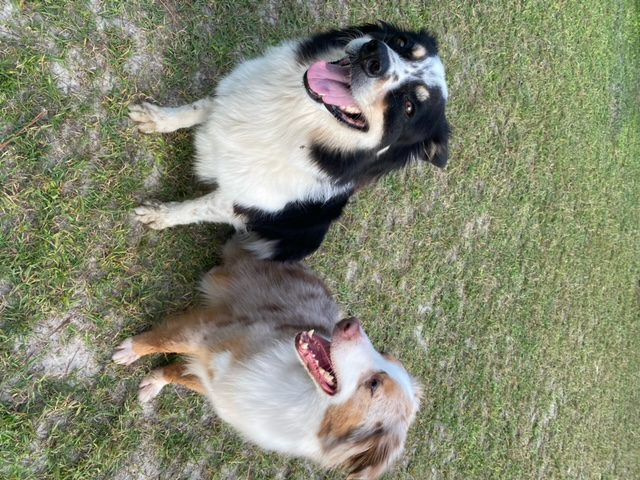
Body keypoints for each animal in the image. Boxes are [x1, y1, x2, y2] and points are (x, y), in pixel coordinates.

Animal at [130, 23, 450, 260]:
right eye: (401, 42)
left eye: (409, 107)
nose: (375, 56)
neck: (292, 115)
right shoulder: (228, 101)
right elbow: (196, 109)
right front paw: (157, 119)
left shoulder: (241, 201)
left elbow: (195, 209)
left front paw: (159, 215)